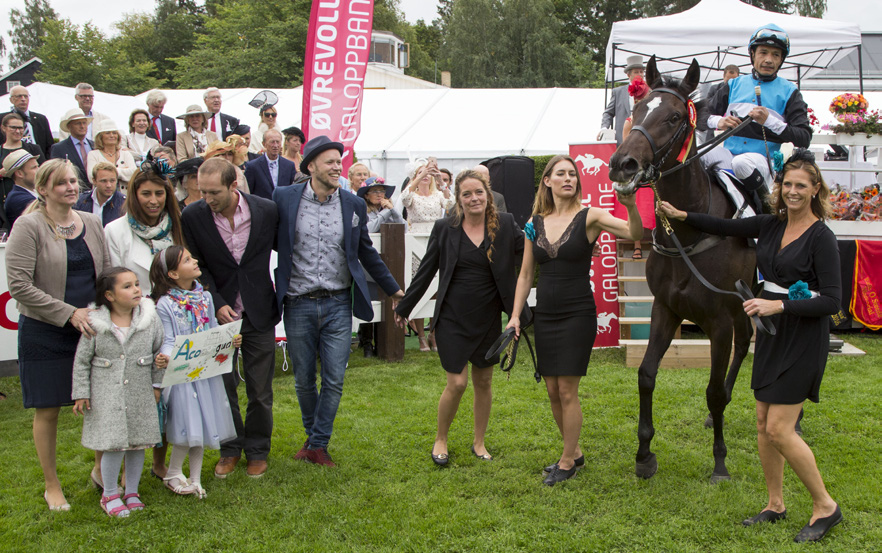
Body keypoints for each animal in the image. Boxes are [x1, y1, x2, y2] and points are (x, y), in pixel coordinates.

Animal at [608, 55, 752, 478]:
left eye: (673, 117)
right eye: (639, 109)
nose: (623, 164)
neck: (687, 234)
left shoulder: (719, 321)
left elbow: (713, 391)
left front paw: (719, 461)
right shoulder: (666, 309)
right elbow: (645, 374)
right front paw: (644, 454)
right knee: (745, 345)